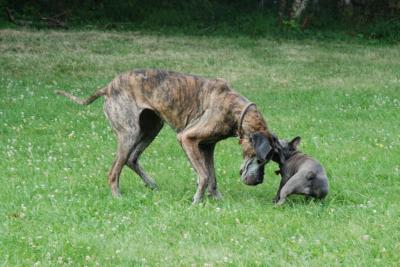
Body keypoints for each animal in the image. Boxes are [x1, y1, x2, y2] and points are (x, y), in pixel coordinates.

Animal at [55, 68, 278, 203]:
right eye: (259, 159)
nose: (259, 181)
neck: (236, 109)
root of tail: (108, 87)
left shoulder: (207, 146)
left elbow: (212, 177)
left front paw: (217, 200)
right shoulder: (187, 139)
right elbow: (204, 175)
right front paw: (197, 201)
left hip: (151, 128)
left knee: (131, 159)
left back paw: (150, 184)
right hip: (130, 133)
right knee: (114, 171)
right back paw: (117, 196)